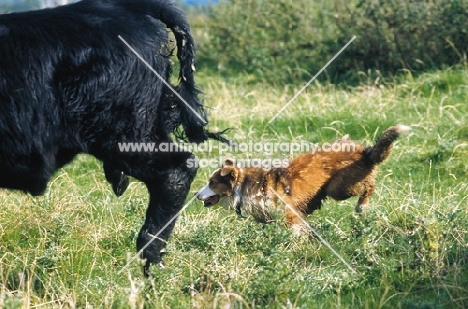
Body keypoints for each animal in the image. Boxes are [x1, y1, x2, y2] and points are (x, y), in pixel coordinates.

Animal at [197, 124, 410, 229]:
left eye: (212, 183)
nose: (196, 195)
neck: (247, 186)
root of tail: (363, 151)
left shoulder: (290, 214)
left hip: (339, 188)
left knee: (369, 186)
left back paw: (362, 207)